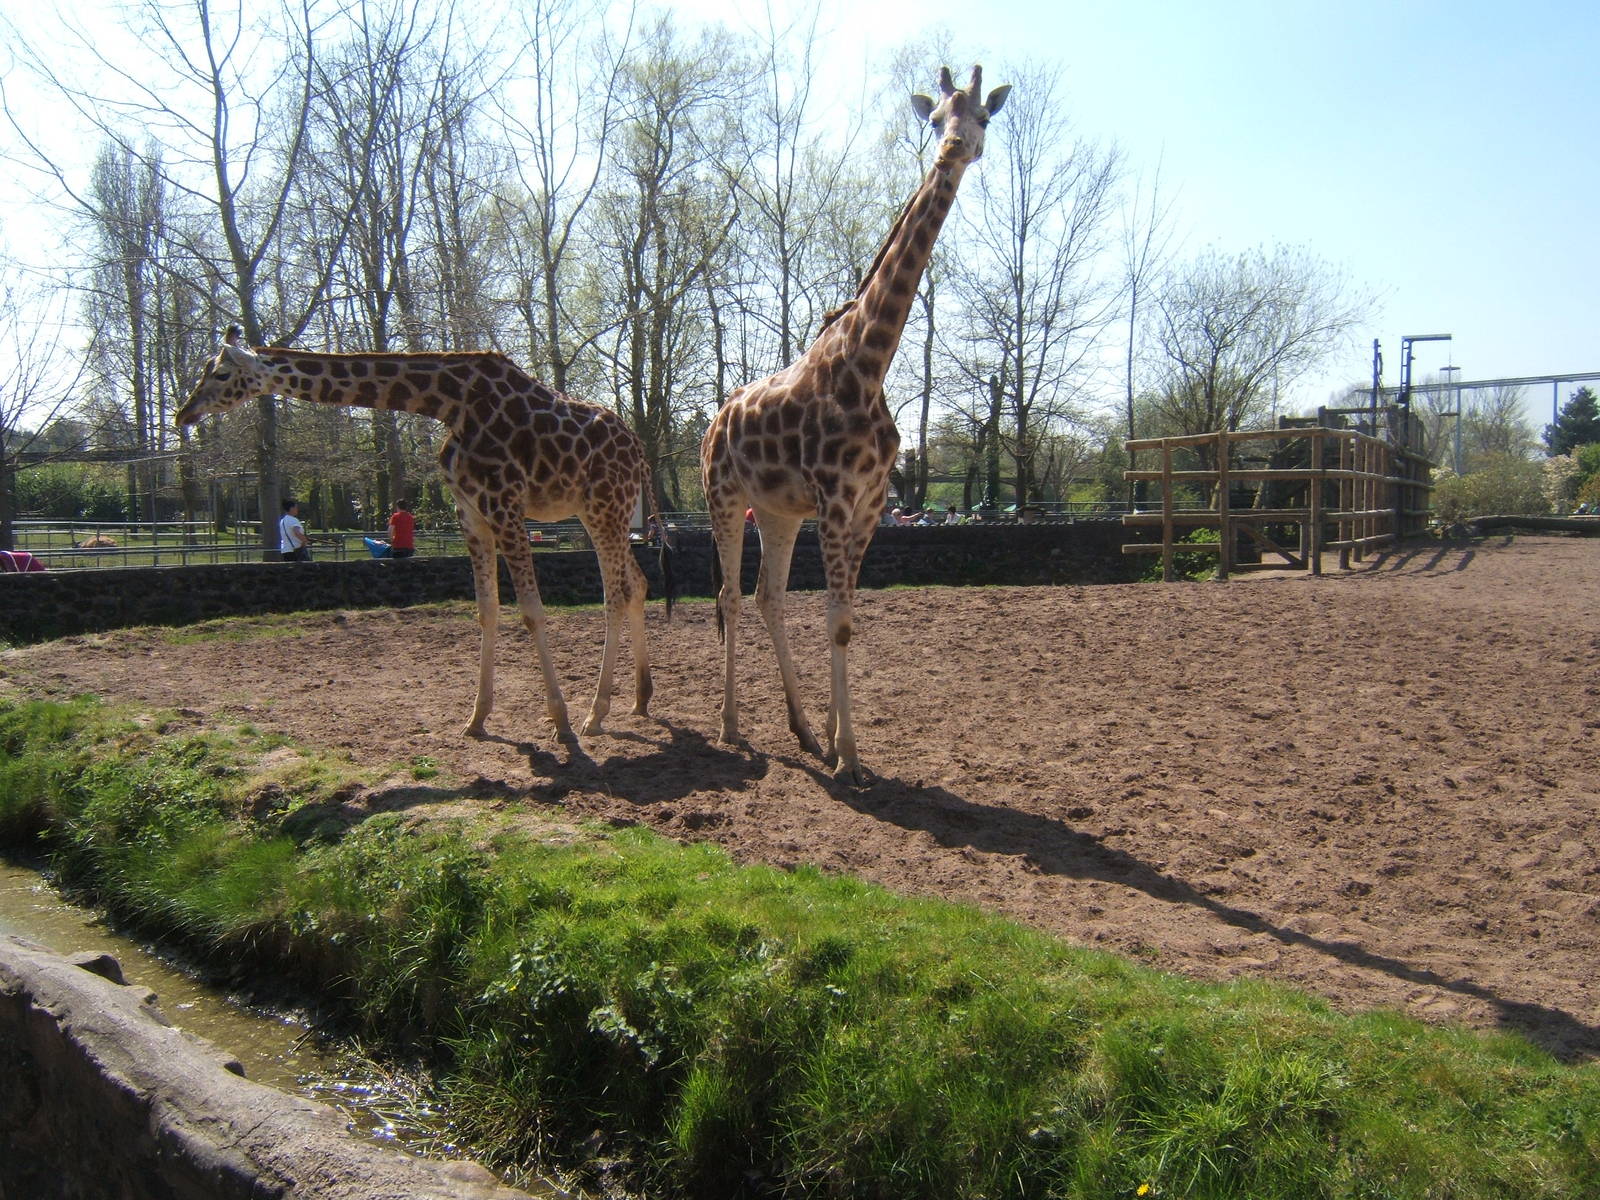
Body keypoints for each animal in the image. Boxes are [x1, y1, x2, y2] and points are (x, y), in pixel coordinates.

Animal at [177, 327, 655, 743]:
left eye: (220, 373)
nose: (185, 413)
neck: (449, 404)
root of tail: (639, 451)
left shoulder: (504, 505)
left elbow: (531, 612)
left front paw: (561, 722)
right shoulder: (471, 513)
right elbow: (487, 610)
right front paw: (476, 719)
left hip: (605, 507)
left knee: (614, 594)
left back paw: (595, 713)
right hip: (601, 512)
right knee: (636, 583)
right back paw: (639, 699)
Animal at [700, 65, 1010, 784]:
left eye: (983, 115)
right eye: (936, 119)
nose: (953, 149)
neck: (870, 363)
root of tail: (713, 421)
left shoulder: (869, 505)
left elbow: (846, 620)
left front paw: (837, 741)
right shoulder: (838, 503)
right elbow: (835, 620)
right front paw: (851, 758)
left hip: (776, 511)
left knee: (767, 597)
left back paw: (803, 731)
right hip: (722, 498)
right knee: (729, 598)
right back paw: (731, 726)